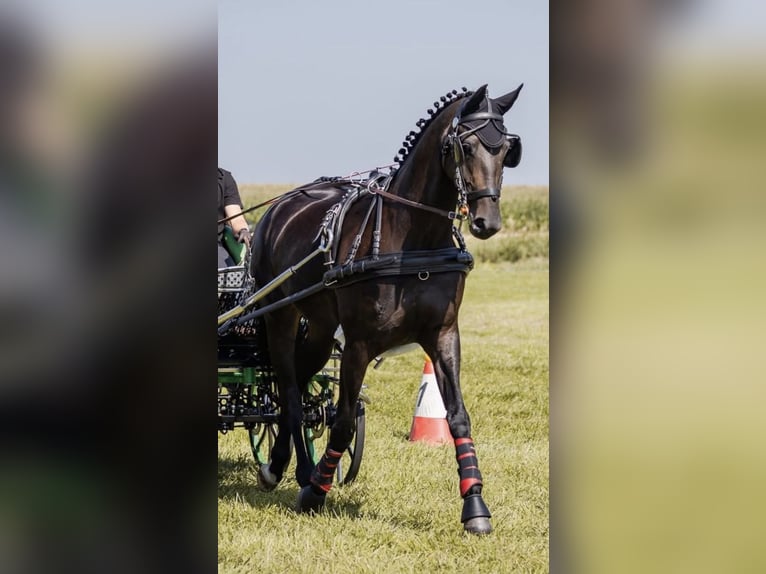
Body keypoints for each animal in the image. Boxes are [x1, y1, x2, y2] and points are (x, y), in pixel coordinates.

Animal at [250, 84, 523, 534]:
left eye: (506, 150)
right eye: (465, 146)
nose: (488, 222)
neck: (414, 240)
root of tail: (279, 207)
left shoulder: (444, 335)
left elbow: (458, 416)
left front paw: (475, 506)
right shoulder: (358, 344)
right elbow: (343, 421)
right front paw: (315, 494)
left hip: (321, 327)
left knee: (301, 385)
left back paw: (288, 463)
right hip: (279, 314)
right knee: (287, 387)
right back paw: (289, 469)